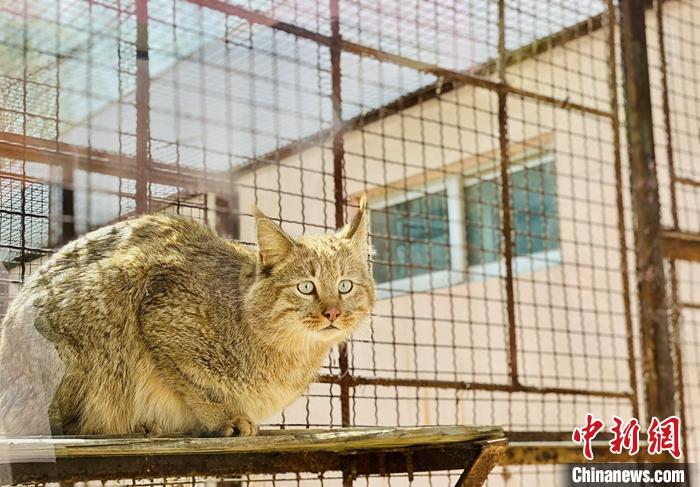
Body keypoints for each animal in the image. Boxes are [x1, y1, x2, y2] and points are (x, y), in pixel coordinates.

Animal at [0, 198, 374, 438]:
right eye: (306, 287)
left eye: (345, 286)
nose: (333, 313)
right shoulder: (156, 313)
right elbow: (192, 382)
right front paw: (222, 417)